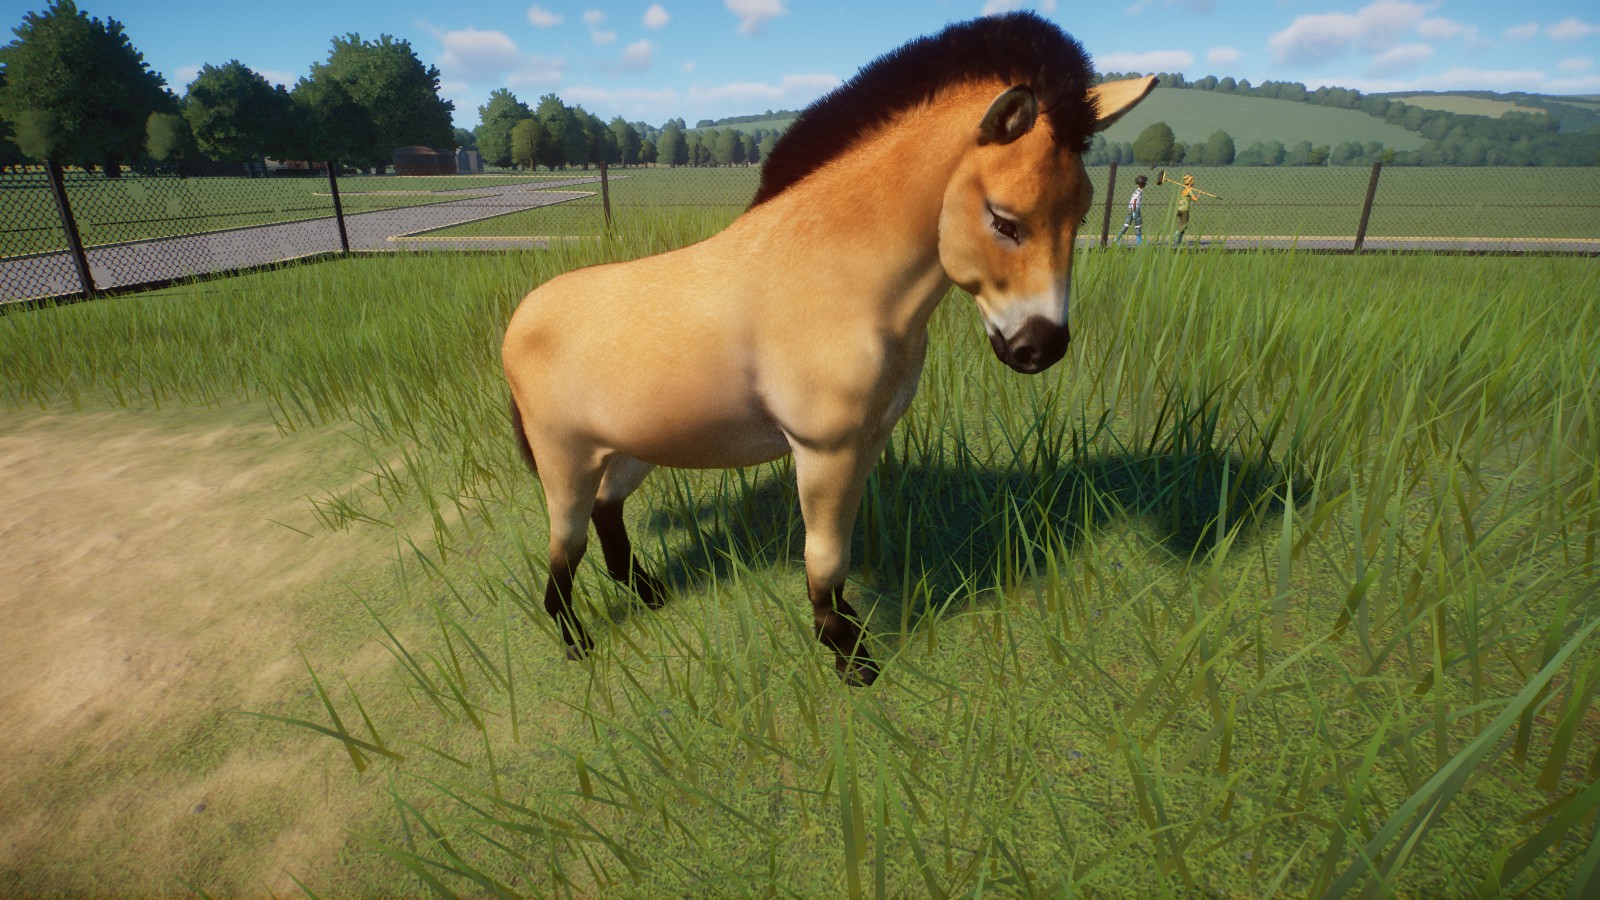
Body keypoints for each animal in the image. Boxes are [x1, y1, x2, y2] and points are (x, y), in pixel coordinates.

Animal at [502, 11, 1155, 686]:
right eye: (1003, 220)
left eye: (1082, 214)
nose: (1038, 349)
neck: (838, 280)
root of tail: (520, 319)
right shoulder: (823, 450)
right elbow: (824, 557)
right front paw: (850, 657)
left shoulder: (866, 441)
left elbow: (840, 550)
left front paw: (849, 631)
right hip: (566, 461)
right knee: (563, 549)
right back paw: (576, 642)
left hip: (632, 448)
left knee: (608, 512)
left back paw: (650, 594)